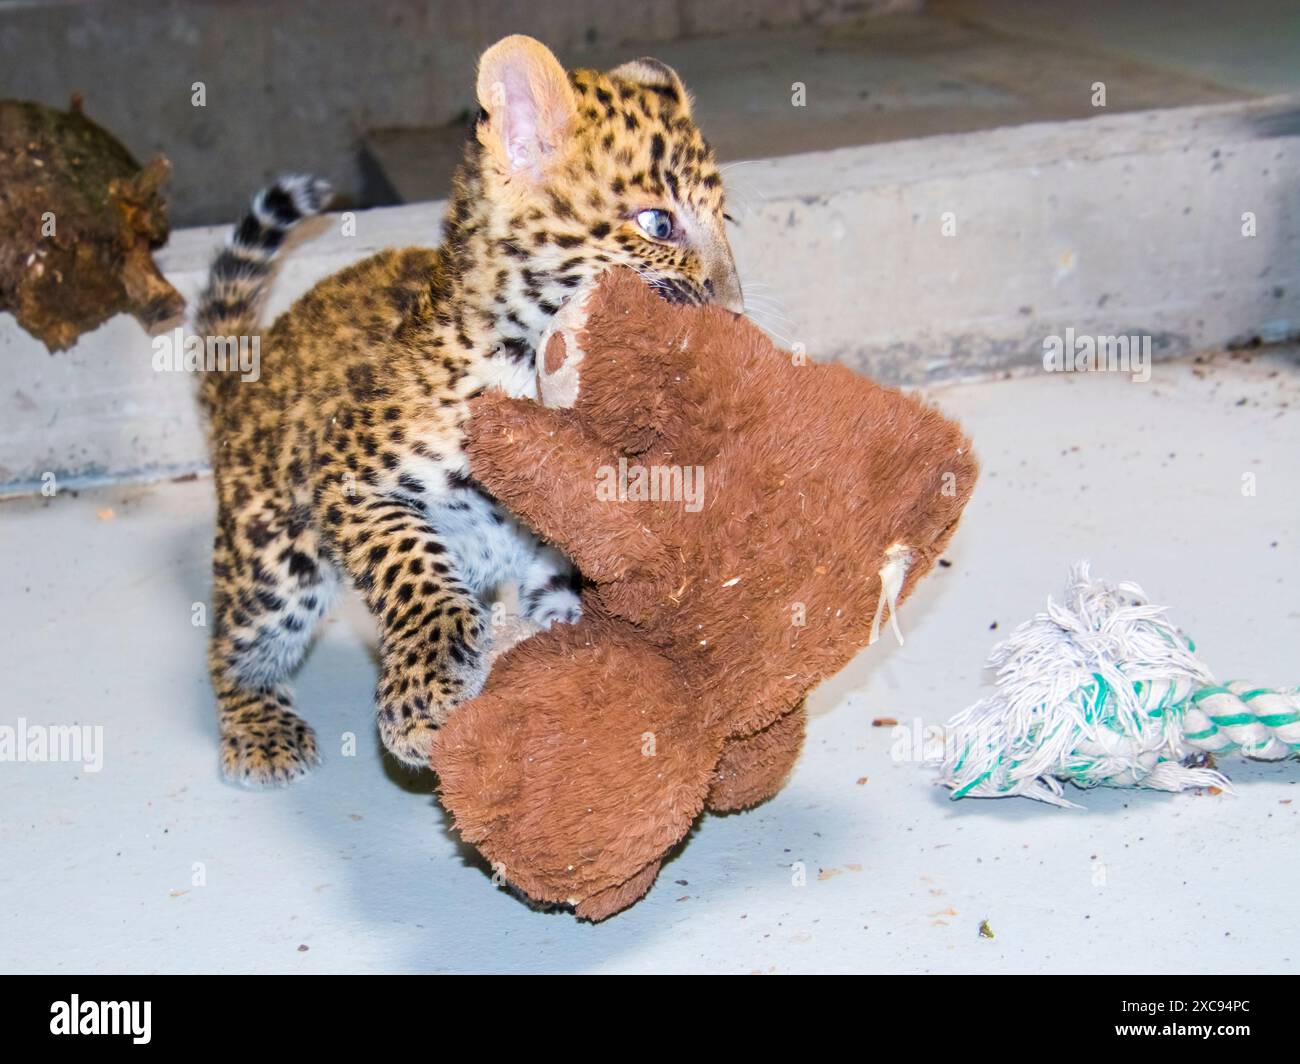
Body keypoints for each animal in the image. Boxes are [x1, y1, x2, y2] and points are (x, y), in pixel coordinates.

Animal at [196, 35, 743, 785]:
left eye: (727, 222)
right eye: (658, 223)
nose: (735, 310)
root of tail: (247, 375)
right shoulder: (350, 477)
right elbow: (417, 570)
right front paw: (421, 701)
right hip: (276, 556)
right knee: (237, 644)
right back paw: (260, 728)